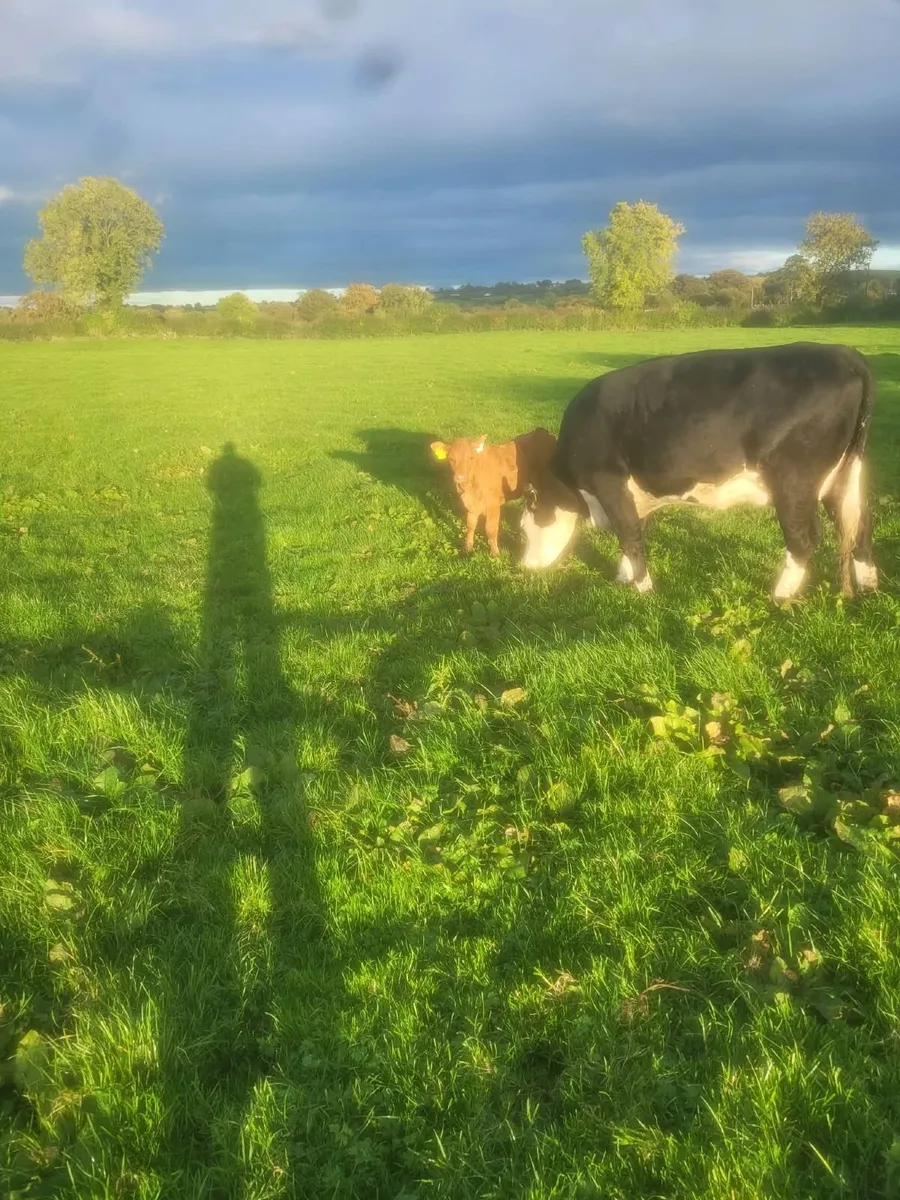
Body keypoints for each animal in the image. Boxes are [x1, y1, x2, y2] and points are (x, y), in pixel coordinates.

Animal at [430, 426, 558, 557]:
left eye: (471, 457)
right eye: (451, 458)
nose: (461, 477)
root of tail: (542, 432)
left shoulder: (493, 504)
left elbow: (491, 529)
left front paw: (495, 553)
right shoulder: (471, 505)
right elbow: (470, 525)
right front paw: (467, 548)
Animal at [519, 342, 877, 600]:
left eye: (526, 525)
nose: (525, 566)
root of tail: (843, 353)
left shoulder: (608, 481)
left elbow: (629, 533)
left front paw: (643, 589)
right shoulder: (635, 492)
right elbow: (634, 529)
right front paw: (625, 575)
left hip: (794, 481)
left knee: (805, 538)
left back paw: (782, 595)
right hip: (842, 476)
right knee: (859, 525)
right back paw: (868, 586)